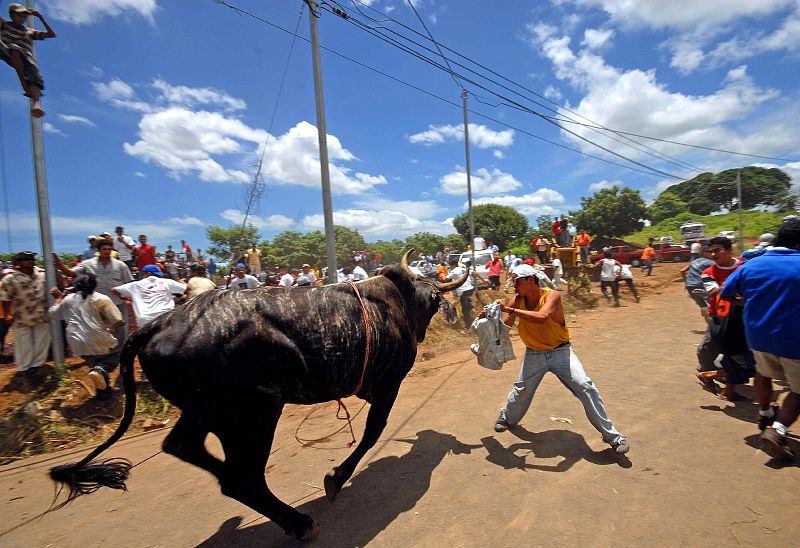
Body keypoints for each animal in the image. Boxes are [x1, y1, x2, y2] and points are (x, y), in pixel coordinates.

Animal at [50, 256, 468, 540]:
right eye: (433, 301)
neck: (398, 303)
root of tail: (158, 323)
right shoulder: (388, 383)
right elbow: (372, 432)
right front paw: (336, 478)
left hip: (206, 414)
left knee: (186, 448)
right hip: (253, 415)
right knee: (241, 479)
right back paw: (298, 523)